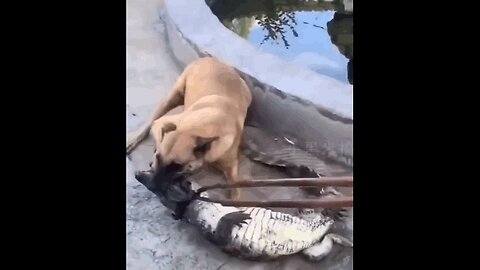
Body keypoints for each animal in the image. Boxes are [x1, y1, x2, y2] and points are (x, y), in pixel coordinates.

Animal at [127, 57, 253, 199]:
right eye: (158, 158)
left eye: (177, 166)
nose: (151, 187)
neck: (199, 129)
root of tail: (213, 59)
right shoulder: (164, 122)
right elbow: (157, 128)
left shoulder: (231, 166)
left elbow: (236, 190)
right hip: (173, 96)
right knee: (150, 121)